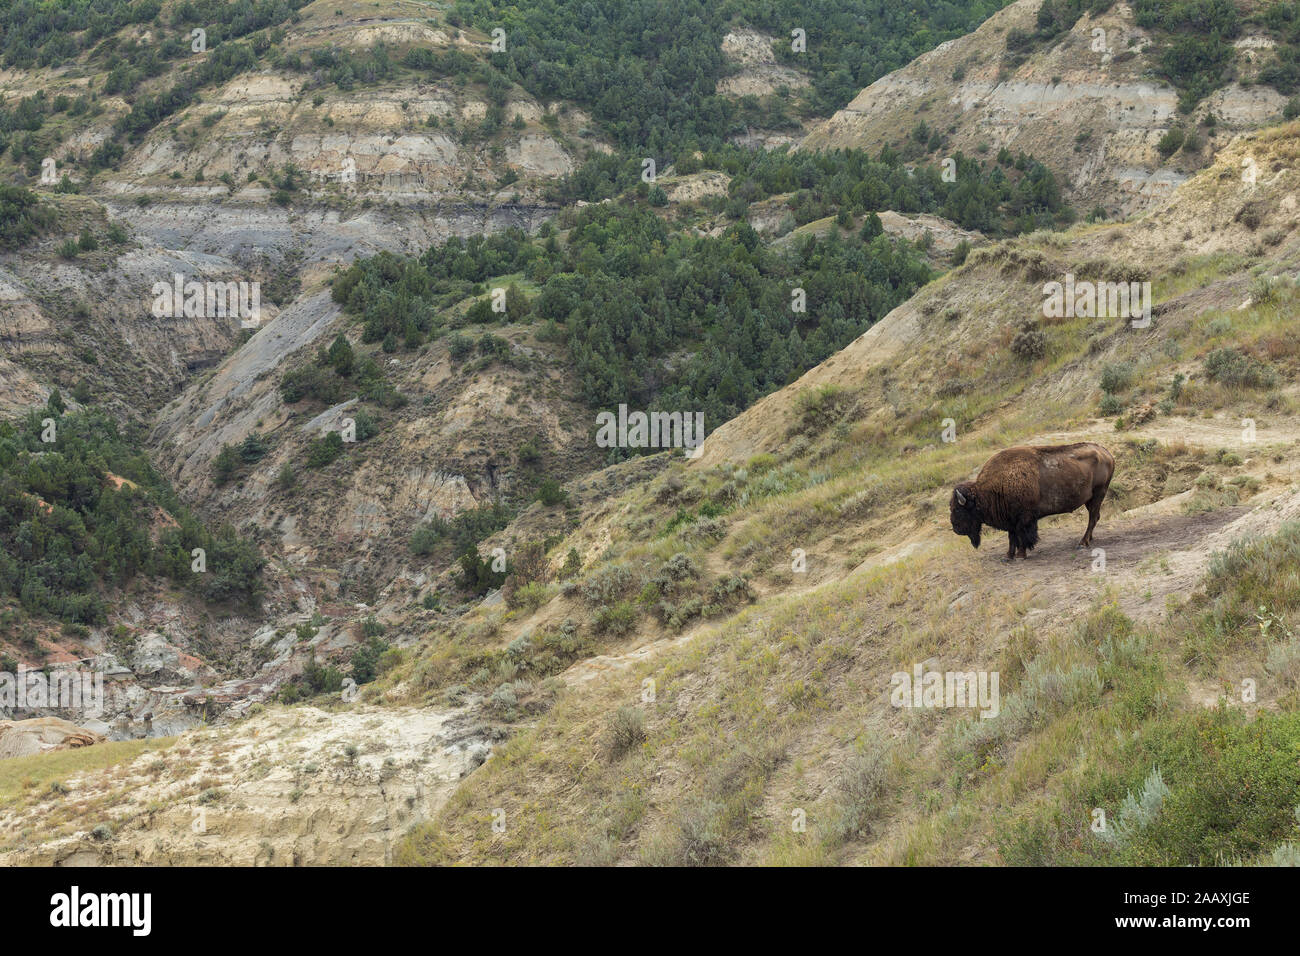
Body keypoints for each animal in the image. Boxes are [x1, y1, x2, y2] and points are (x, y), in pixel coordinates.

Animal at [946, 442, 1118, 561]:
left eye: (957, 509)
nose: (955, 528)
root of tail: (1106, 453)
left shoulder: (1024, 518)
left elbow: (1022, 536)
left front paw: (1020, 555)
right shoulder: (1011, 519)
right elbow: (1011, 537)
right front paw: (1007, 557)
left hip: (1098, 494)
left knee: (1092, 518)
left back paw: (1082, 543)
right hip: (1091, 499)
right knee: (1094, 517)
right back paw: (1089, 540)